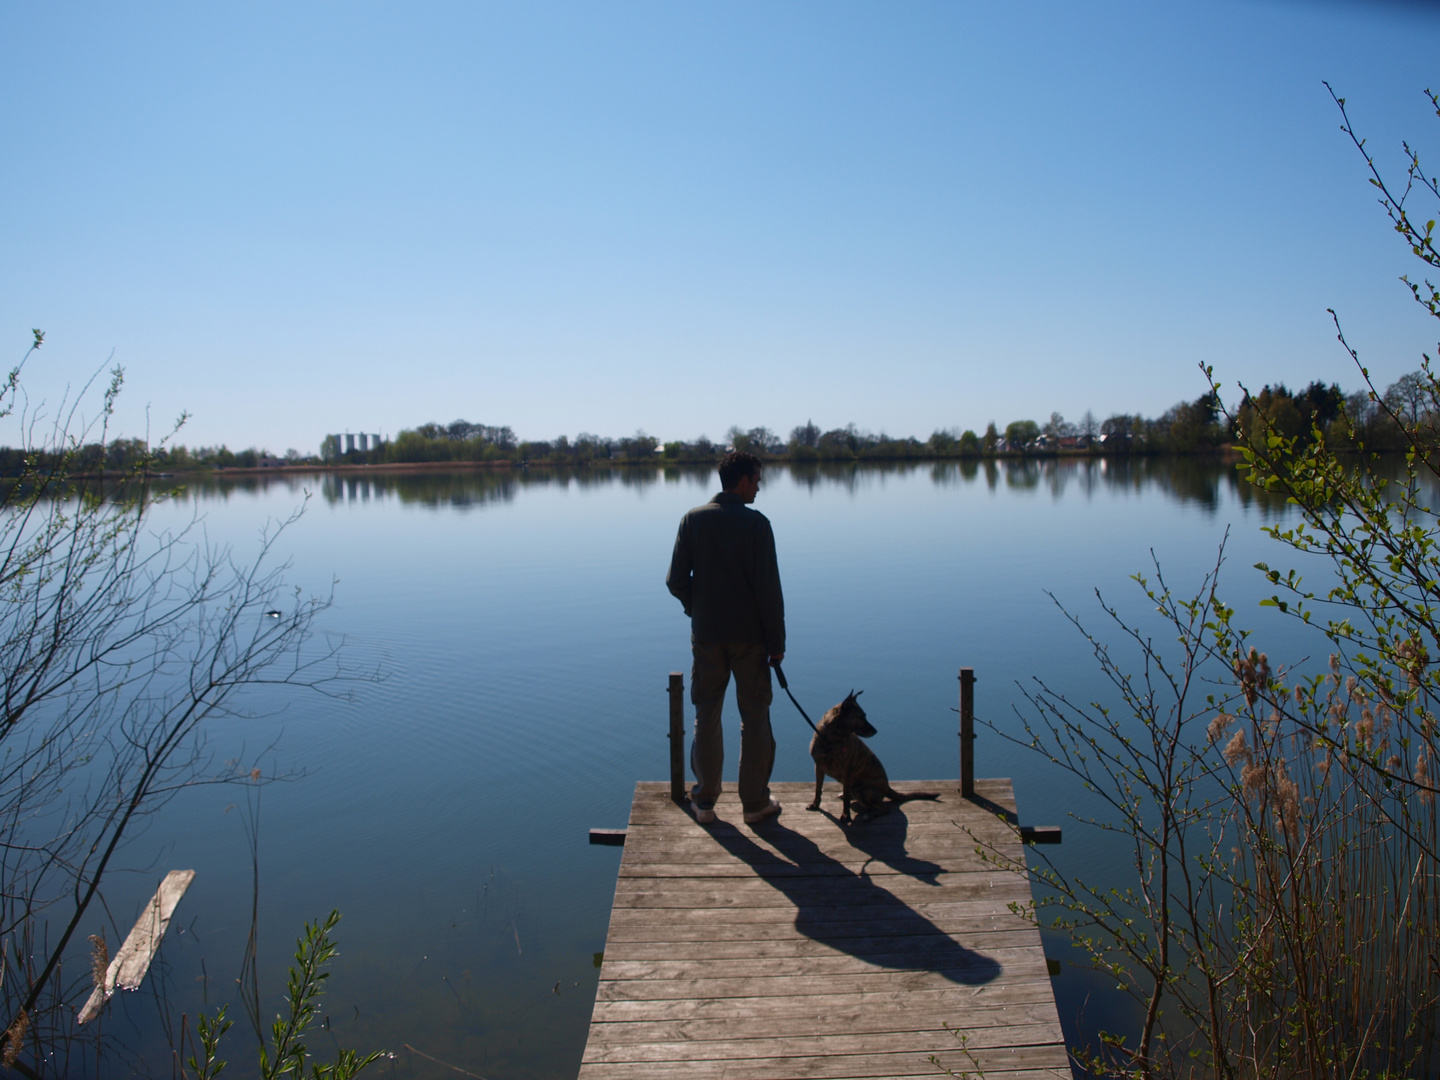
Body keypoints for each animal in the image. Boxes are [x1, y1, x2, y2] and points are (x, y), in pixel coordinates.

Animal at [806, 688, 938, 823]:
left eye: (865, 716)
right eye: (860, 717)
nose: (875, 731)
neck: (831, 738)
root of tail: (887, 787)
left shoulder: (846, 772)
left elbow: (846, 801)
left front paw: (846, 816)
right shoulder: (819, 767)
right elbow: (818, 789)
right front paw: (815, 804)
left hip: (860, 789)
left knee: (882, 808)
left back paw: (868, 815)